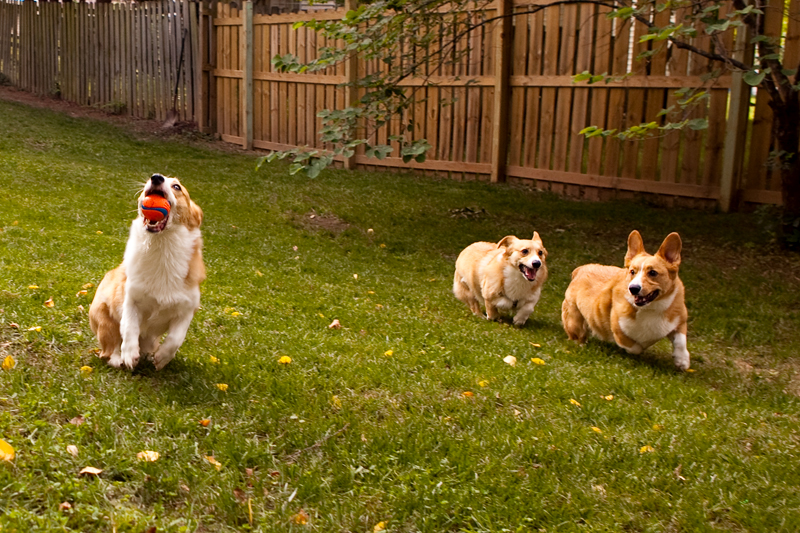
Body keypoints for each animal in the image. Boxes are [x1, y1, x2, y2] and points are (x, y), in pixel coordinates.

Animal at [89, 175, 205, 370]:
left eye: (177, 187)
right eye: (151, 179)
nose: (156, 177)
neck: (162, 247)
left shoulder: (187, 309)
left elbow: (176, 339)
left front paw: (162, 359)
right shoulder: (131, 300)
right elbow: (130, 328)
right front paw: (129, 355)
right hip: (104, 321)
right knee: (109, 349)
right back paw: (118, 359)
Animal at [564, 229, 688, 370]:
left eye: (653, 273)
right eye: (632, 271)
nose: (633, 288)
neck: (653, 308)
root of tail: (580, 269)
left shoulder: (679, 321)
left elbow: (681, 341)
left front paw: (682, 361)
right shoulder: (619, 331)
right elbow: (635, 347)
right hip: (574, 321)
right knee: (578, 334)